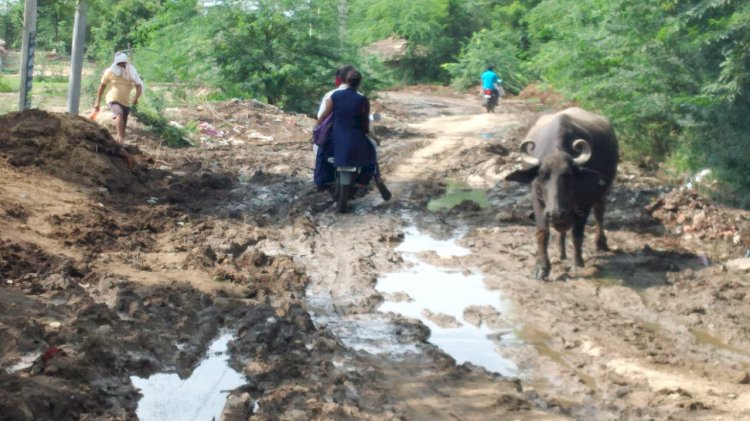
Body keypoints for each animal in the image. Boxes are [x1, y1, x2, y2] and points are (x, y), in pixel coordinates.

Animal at [506, 107, 624, 278]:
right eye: (541, 174)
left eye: (569, 175)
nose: (555, 213)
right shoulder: (538, 201)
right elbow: (542, 233)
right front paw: (541, 268)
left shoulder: (584, 204)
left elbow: (577, 234)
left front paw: (578, 262)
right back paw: (561, 253)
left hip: (603, 191)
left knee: (599, 213)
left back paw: (600, 243)